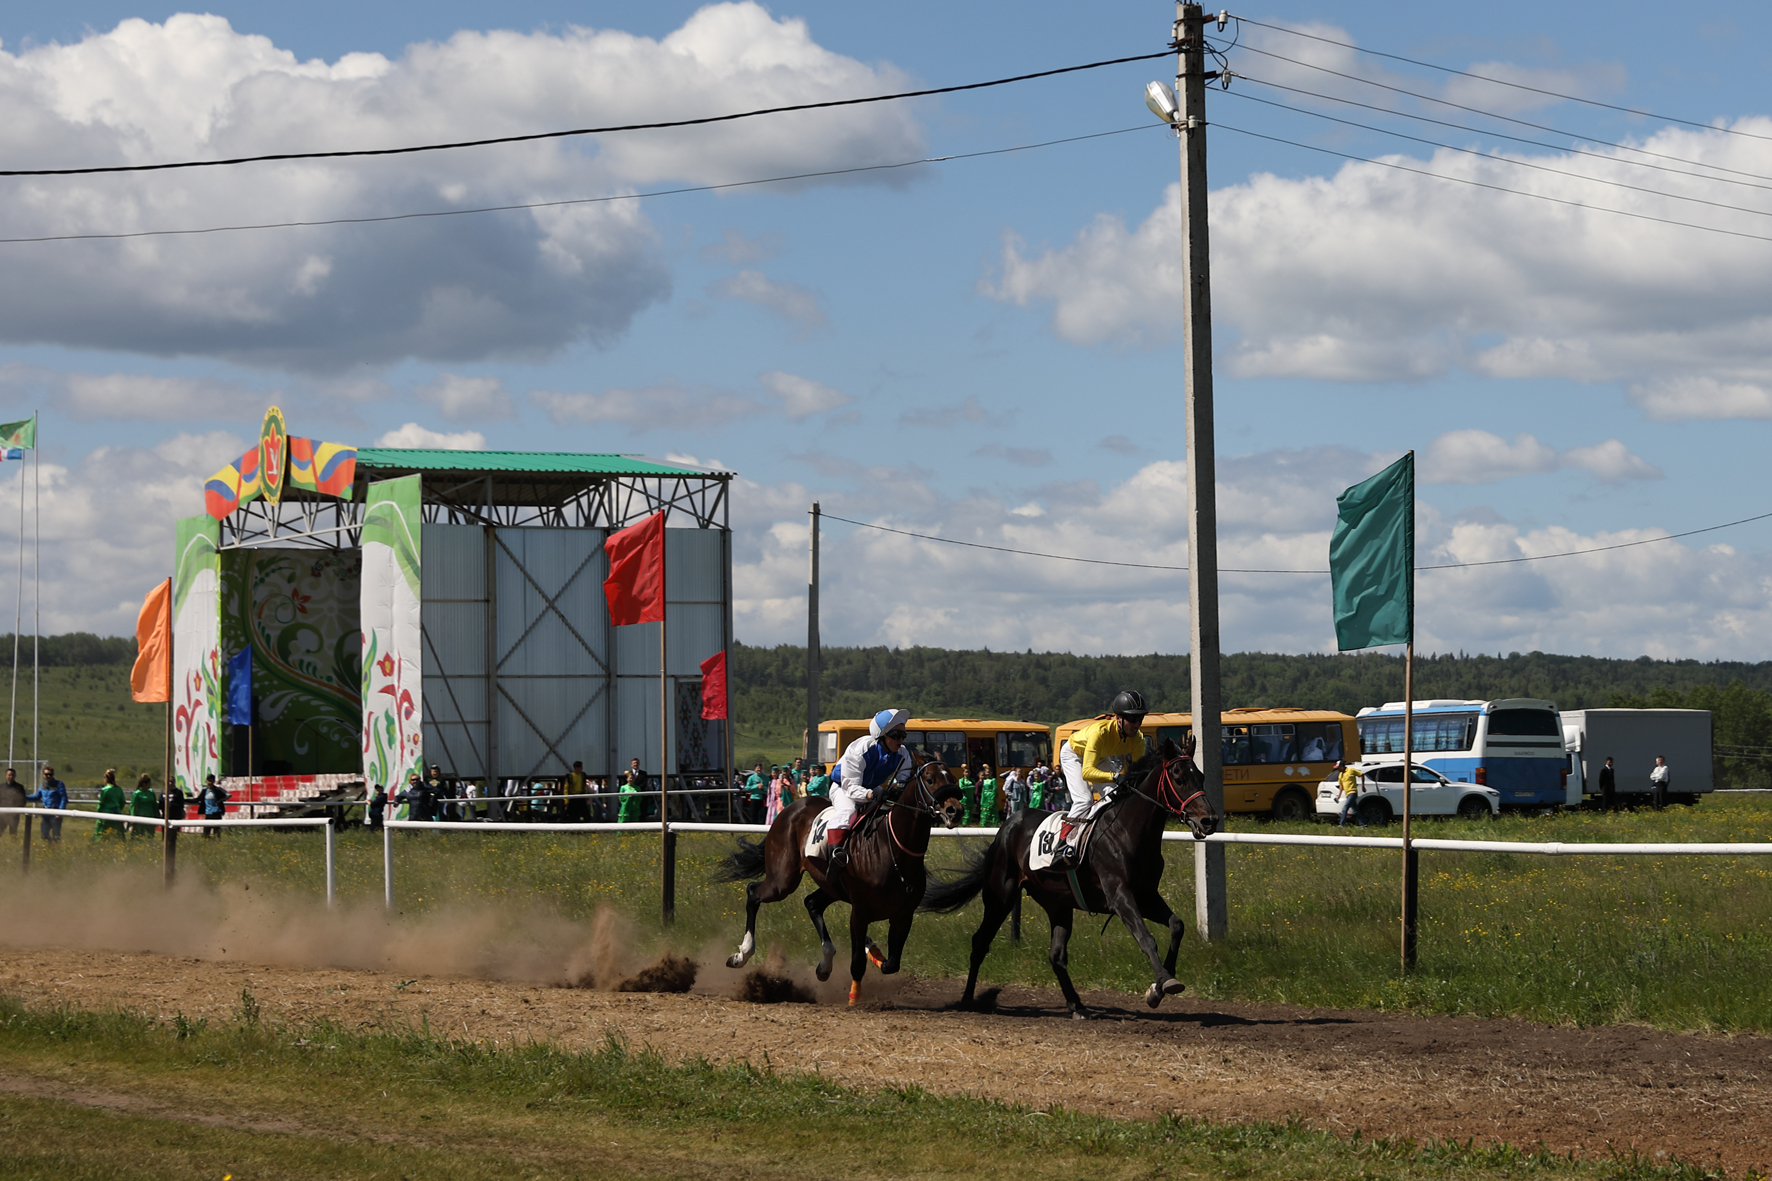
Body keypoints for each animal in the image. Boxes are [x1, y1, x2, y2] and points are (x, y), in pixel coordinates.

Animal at [715, 748, 963, 1000]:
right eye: (930, 779)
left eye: (953, 779)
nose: (955, 810)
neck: (894, 850)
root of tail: (789, 809)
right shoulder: (860, 912)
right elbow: (857, 963)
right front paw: (854, 997)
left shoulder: (904, 914)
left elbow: (891, 964)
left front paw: (872, 949)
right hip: (782, 880)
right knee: (753, 893)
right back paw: (741, 955)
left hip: (830, 885)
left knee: (812, 903)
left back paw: (825, 965)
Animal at [914, 730, 1219, 1014]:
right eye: (1178, 777)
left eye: (1202, 776)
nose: (1209, 820)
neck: (1129, 832)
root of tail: (1007, 825)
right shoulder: (1120, 896)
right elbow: (1146, 938)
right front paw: (1163, 984)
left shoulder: (1146, 896)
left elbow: (1177, 925)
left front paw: (1161, 984)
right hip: (1001, 895)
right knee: (980, 942)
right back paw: (967, 999)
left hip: (1057, 904)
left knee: (1056, 955)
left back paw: (1077, 1005)